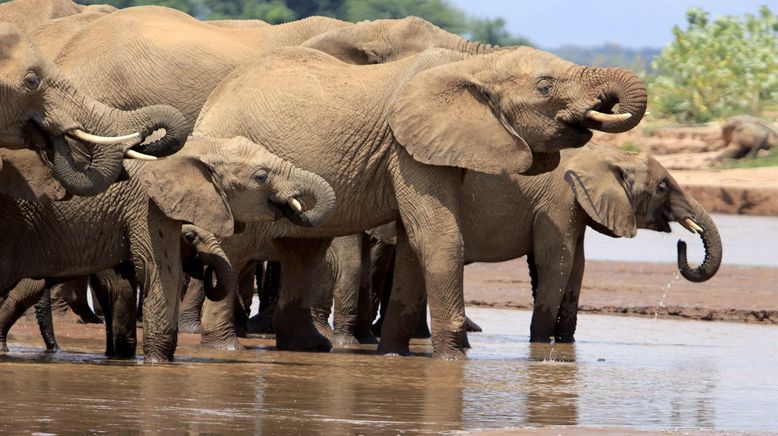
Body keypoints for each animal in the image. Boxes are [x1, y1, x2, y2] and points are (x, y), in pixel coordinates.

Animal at [0, 137, 334, 362]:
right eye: (261, 176)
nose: (294, 208)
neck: (193, 148)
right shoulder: (146, 208)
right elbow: (160, 273)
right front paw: (158, 362)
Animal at [310, 143, 720, 348]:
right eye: (663, 186)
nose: (682, 242)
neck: (604, 154)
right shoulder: (558, 204)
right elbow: (556, 262)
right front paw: (542, 344)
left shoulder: (573, 209)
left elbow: (576, 266)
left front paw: (565, 342)